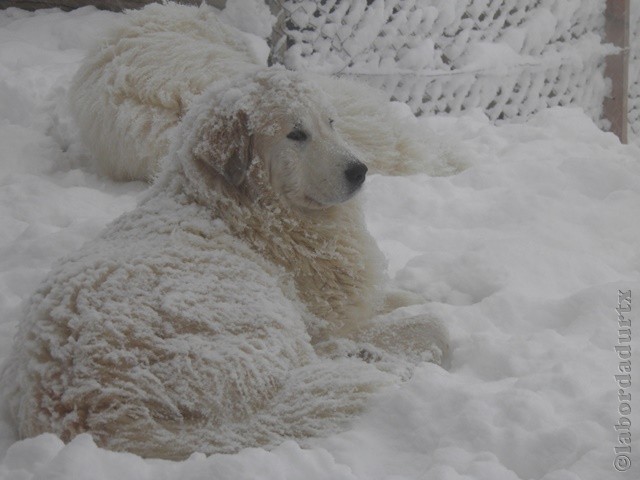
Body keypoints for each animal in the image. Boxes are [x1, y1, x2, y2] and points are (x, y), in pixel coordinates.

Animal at [0, 2, 450, 462]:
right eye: (296, 133)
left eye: (331, 123)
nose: (360, 170)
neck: (243, 211)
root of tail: (105, 416)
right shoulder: (323, 318)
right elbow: (410, 316)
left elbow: (403, 297)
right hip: (253, 315)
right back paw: (376, 356)